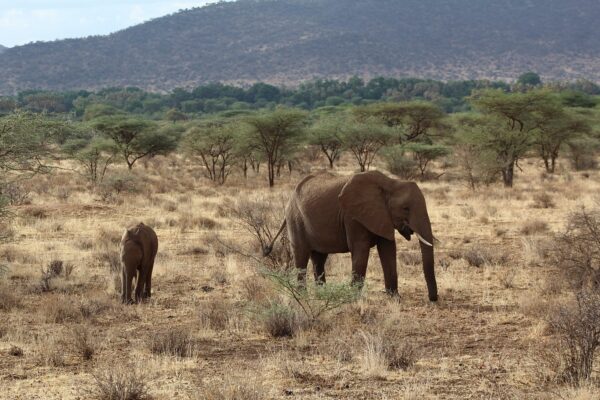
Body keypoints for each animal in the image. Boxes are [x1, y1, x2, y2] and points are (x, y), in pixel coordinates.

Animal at [264, 170, 438, 302]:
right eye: (405, 208)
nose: (432, 299)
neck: (391, 183)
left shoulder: (382, 216)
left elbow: (388, 249)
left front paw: (394, 298)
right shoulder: (353, 217)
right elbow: (361, 250)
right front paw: (353, 299)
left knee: (319, 258)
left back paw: (321, 295)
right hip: (295, 219)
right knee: (301, 256)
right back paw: (303, 297)